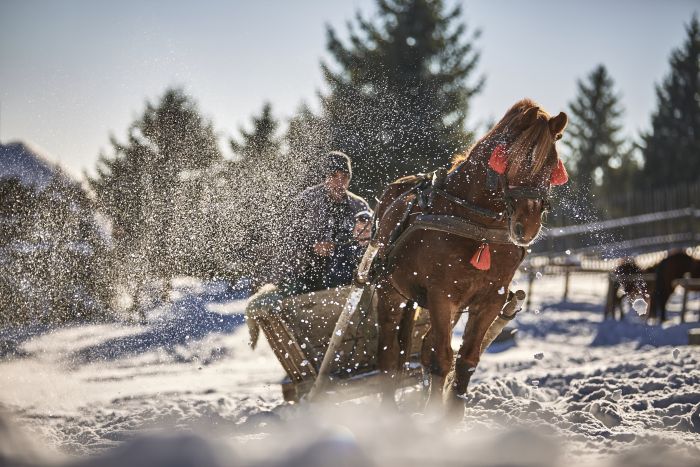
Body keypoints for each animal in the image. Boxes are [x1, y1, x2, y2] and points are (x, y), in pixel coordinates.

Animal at [366, 99, 568, 416]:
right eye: (514, 159)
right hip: (391, 292)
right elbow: (443, 358)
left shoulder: (490, 299)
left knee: (423, 348)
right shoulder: (441, 295)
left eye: (551, 164)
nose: (528, 226)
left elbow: (467, 359)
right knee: (388, 355)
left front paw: (451, 416)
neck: (476, 223)